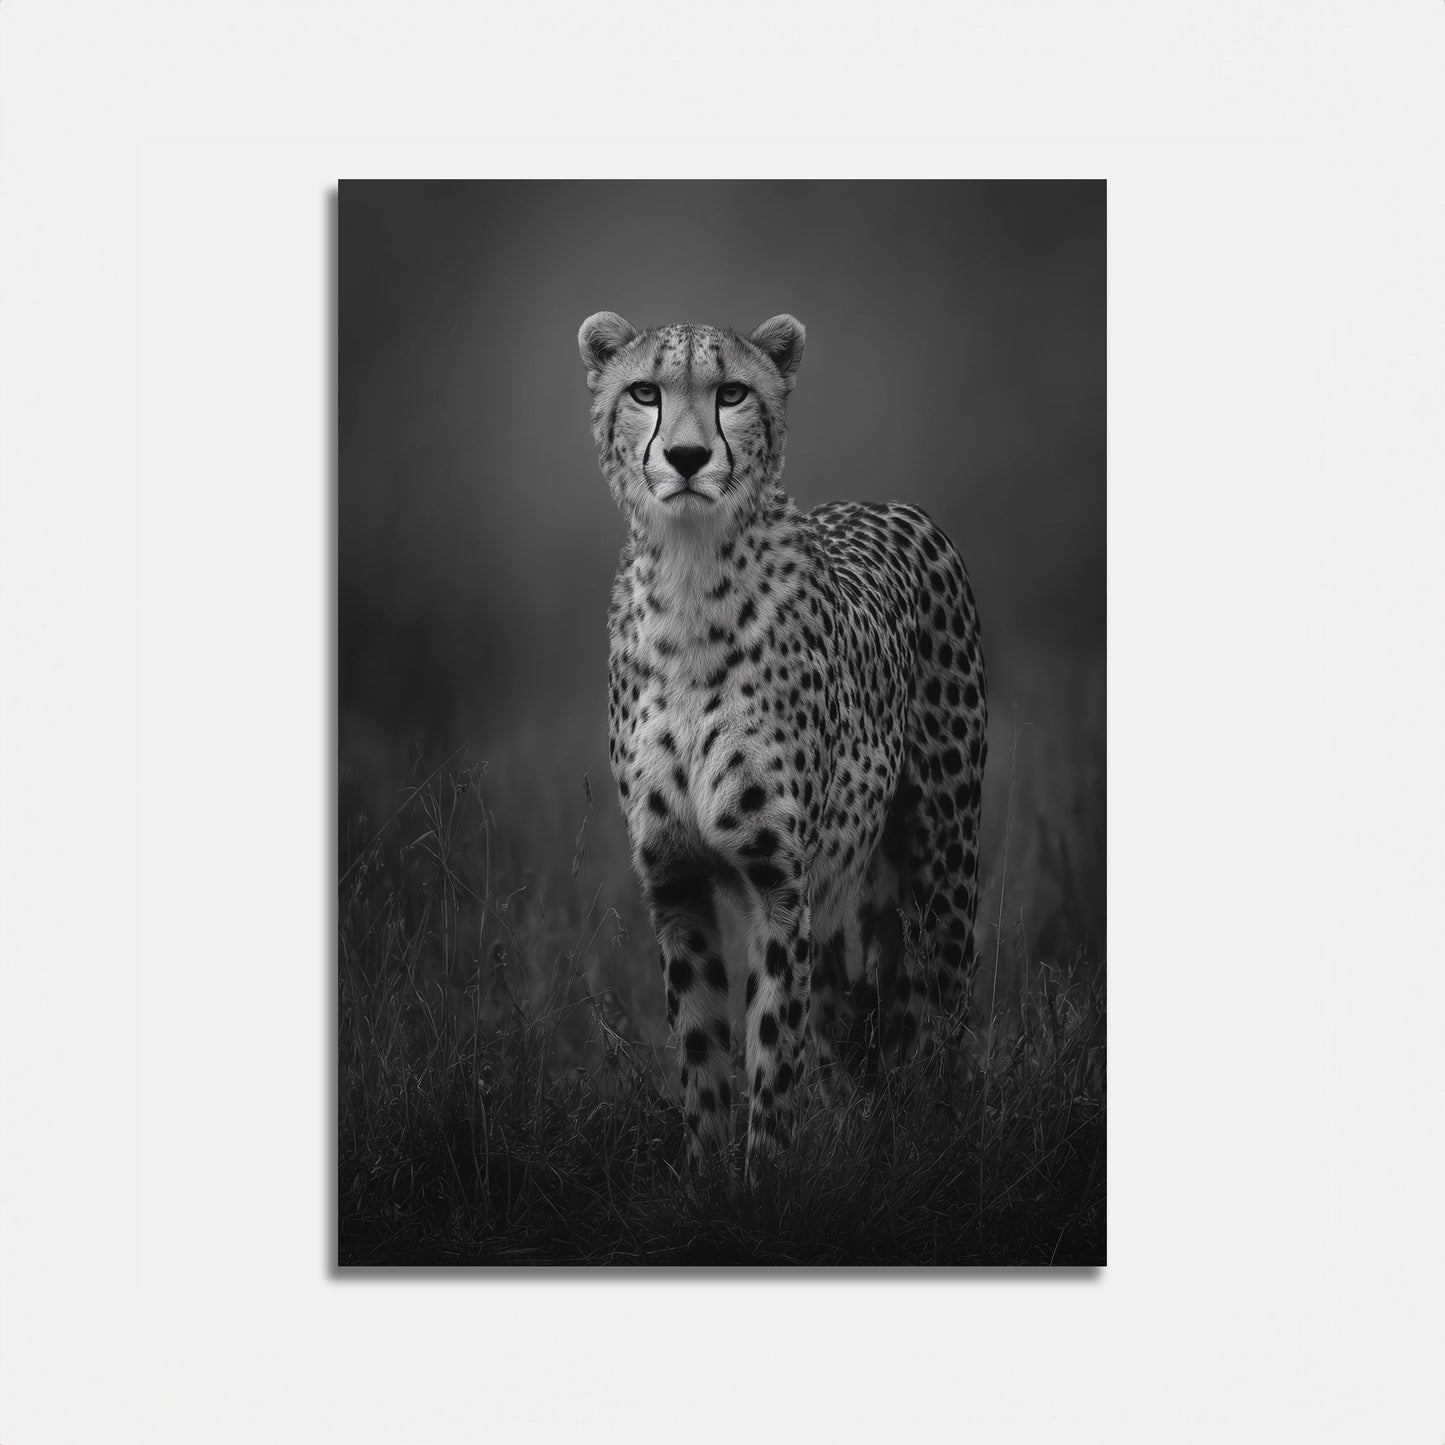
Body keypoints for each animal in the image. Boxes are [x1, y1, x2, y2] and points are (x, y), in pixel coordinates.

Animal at [578, 311, 988, 1182]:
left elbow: (771, 1050)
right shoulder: (676, 880)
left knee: (934, 1014)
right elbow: (703, 1051)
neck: (689, 574)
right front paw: (707, 1181)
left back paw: (935, 1137)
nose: (687, 456)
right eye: (644, 392)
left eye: (731, 392)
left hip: (941, 857)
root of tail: (885, 501)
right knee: (844, 1011)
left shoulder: (777, 882)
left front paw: (765, 1179)